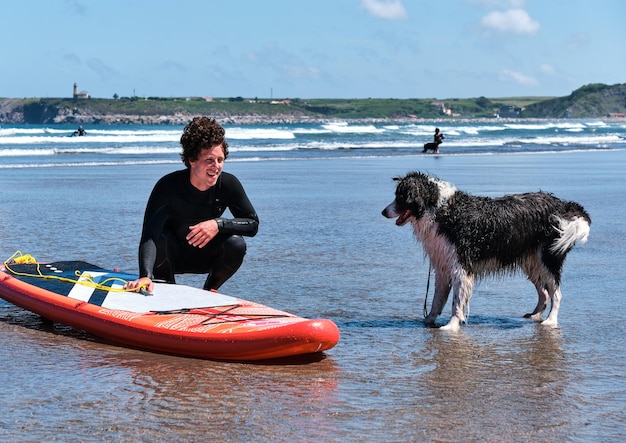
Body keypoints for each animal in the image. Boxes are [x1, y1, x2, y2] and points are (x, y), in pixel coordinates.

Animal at [380, 172, 588, 332]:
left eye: (401, 197)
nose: (383, 212)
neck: (441, 210)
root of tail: (563, 205)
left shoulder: (461, 266)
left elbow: (456, 302)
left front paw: (451, 326)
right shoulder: (443, 265)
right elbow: (437, 299)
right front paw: (429, 320)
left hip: (548, 256)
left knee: (556, 293)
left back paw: (551, 321)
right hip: (531, 260)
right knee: (544, 292)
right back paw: (534, 315)